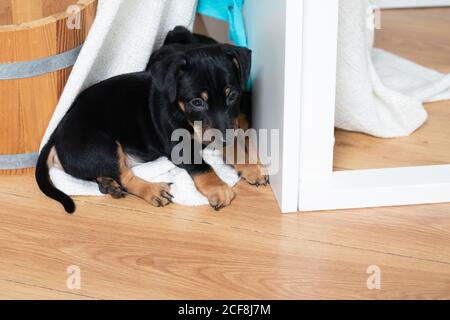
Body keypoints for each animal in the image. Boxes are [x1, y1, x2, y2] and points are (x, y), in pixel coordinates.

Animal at [36, 26, 268, 214]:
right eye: (197, 102)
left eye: (232, 95)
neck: (181, 111)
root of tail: (56, 134)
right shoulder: (180, 146)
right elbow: (202, 166)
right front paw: (219, 189)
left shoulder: (228, 125)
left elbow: (235, 141)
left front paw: (251, 167)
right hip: (101, 145)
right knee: (125, 177)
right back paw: (153, 190)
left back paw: (108, 184)